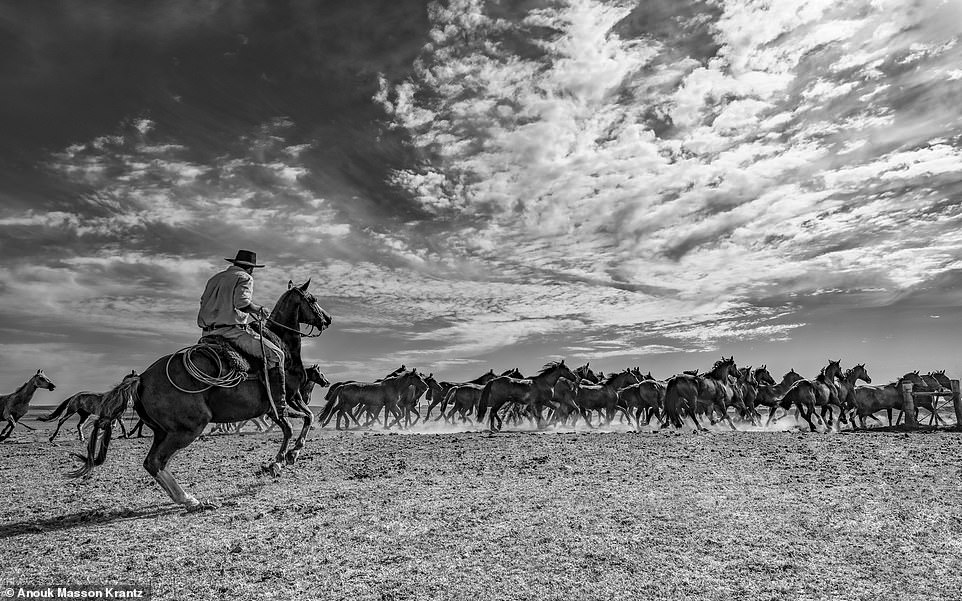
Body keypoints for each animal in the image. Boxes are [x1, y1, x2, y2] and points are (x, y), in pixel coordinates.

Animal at [69, 278, 332, 508]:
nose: (328, 319)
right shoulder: (280, 403)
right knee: (156, 462)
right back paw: (189, 501)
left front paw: (291, 455)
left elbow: (308, 417)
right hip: (189, 428)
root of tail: (141, 378)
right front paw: (280, 460)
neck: (283, 347)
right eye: (313, 299)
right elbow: (291, 427)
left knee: (152, 462)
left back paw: (186, 498)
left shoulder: (291, 400)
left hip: (164, 432)